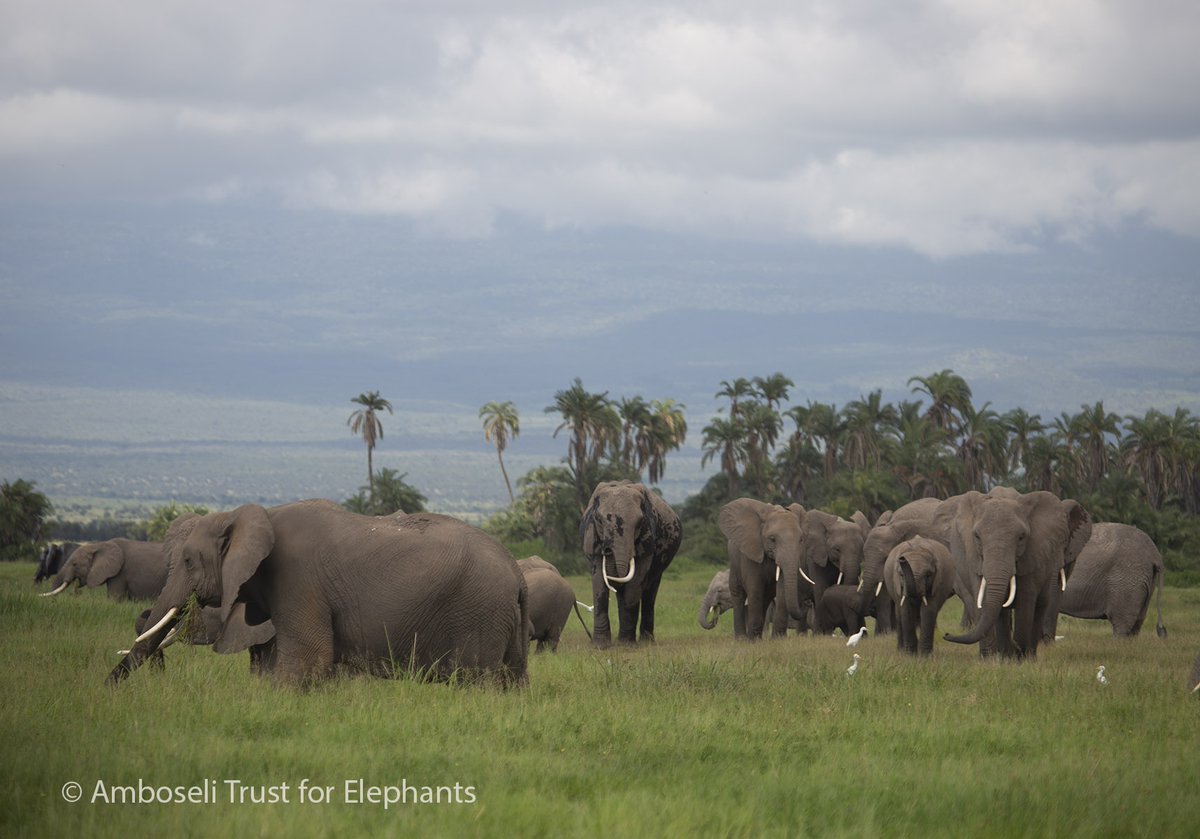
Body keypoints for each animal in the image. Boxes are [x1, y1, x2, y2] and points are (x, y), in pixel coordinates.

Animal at [107, 500, 529, 688]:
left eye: (188, 561)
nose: (108, 689)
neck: (253, 515)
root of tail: (516, 572)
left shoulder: (298, 580)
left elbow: (307, 660)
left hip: (478, 612)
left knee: (477, 680)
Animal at [580, 481, 681, 648]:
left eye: (640, 522)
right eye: (599, 520)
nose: (607, 549)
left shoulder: (647, 541)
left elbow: (635, 584)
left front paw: (626, 645)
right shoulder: (592, 539)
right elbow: (599, 583)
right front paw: (601, 646)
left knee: (649, 594)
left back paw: (646, 642)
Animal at [718, 498, 806, 640]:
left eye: (801, 540)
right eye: (772, 539)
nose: (805, 604)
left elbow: (782, 589)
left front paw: (778, 640)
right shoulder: (751, 551)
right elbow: (754, 588)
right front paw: (752, 641)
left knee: (765, 599)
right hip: (734, 564)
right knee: (738, 594)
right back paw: (742, 639)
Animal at [942, 489, 1092, 659]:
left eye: (1021, 537)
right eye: (977, 537)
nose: (946, 634)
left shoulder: (1033, 553)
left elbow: (1025, 599)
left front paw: (1018, 658)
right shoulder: (972, 556)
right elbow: (985, 598)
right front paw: (997, 659)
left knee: (1041, 604)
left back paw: (1029, 656)